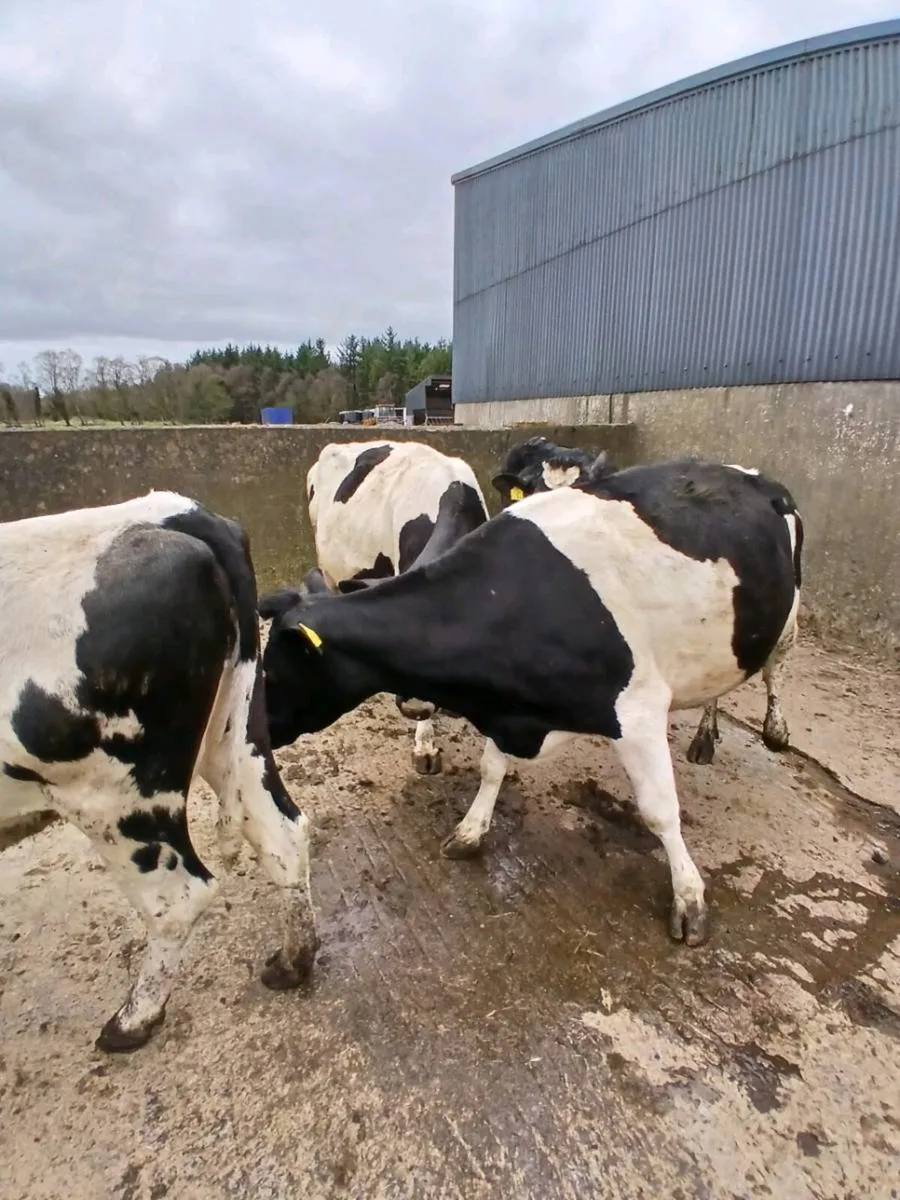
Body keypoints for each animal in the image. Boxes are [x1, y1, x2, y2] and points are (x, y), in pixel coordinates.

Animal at [0, 492, 318, 1053]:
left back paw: (133, 1021)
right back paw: (291, 962)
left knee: (179, 896)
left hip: (114, 797)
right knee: (282, 832)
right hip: (235, 734)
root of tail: (189, 517)